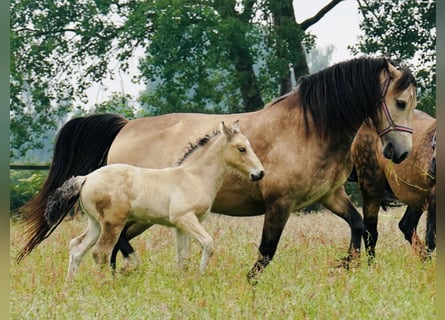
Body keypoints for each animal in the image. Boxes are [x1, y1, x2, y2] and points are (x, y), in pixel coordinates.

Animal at [44, 120, 264, 278]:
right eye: (242, 149)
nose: (259, 173)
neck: (194, 176)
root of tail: (86, 178)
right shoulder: (185, 218)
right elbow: (208, 244)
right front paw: (201, 275)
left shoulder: (180, 226)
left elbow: (183, 257)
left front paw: (184, 282)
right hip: (113, 223)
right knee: (100, 253)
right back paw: (106, 284)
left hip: (96, 224)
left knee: (77, 247)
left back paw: (71, 284)